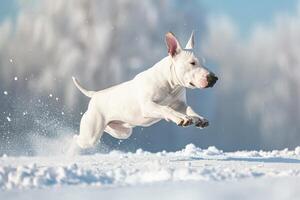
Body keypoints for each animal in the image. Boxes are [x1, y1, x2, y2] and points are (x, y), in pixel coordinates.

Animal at [72, 31, 218, 148]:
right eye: (192, 63)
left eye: (204, 62)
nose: (214, 78)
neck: (170, 84)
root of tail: (95, 94)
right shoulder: (148, 106)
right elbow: (165, 108)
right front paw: (181, 118)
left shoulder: (179, 104)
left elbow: (189, 109)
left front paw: (198, 118)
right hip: (90, 136)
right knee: (77, 138)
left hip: (122, 132)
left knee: (105, 130)